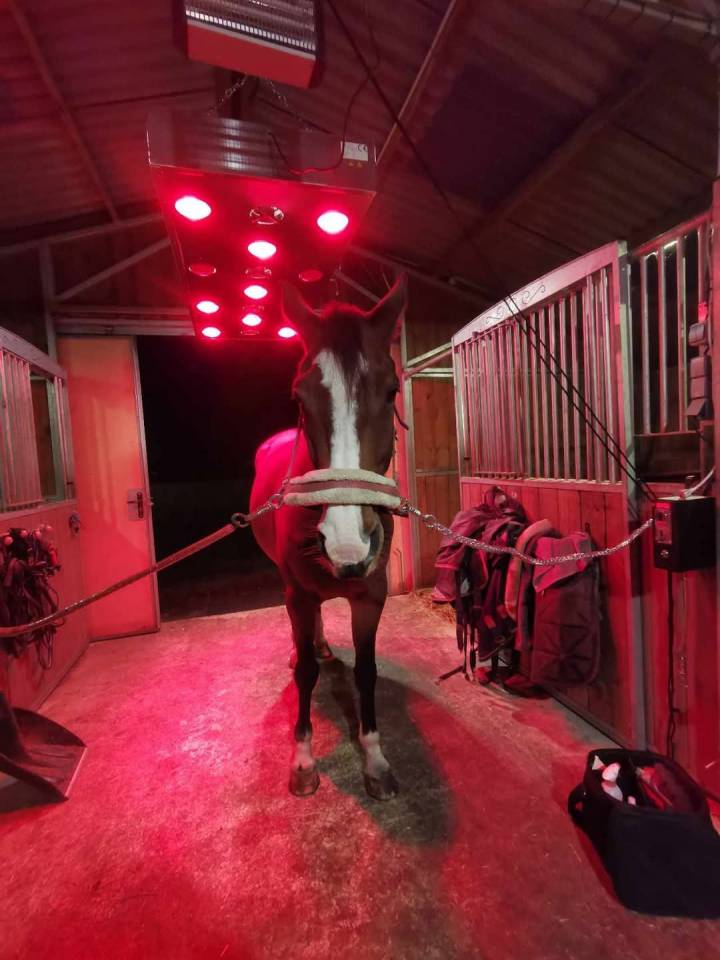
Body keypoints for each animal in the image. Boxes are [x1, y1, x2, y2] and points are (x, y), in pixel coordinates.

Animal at [250, 275, 407, 800]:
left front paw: (376, 759)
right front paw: (302, 761)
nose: (347, 545)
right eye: (300, 397)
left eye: (392, 390)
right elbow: (305, 674)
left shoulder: (372, 595)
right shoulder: (297, 594)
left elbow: (366, 671)